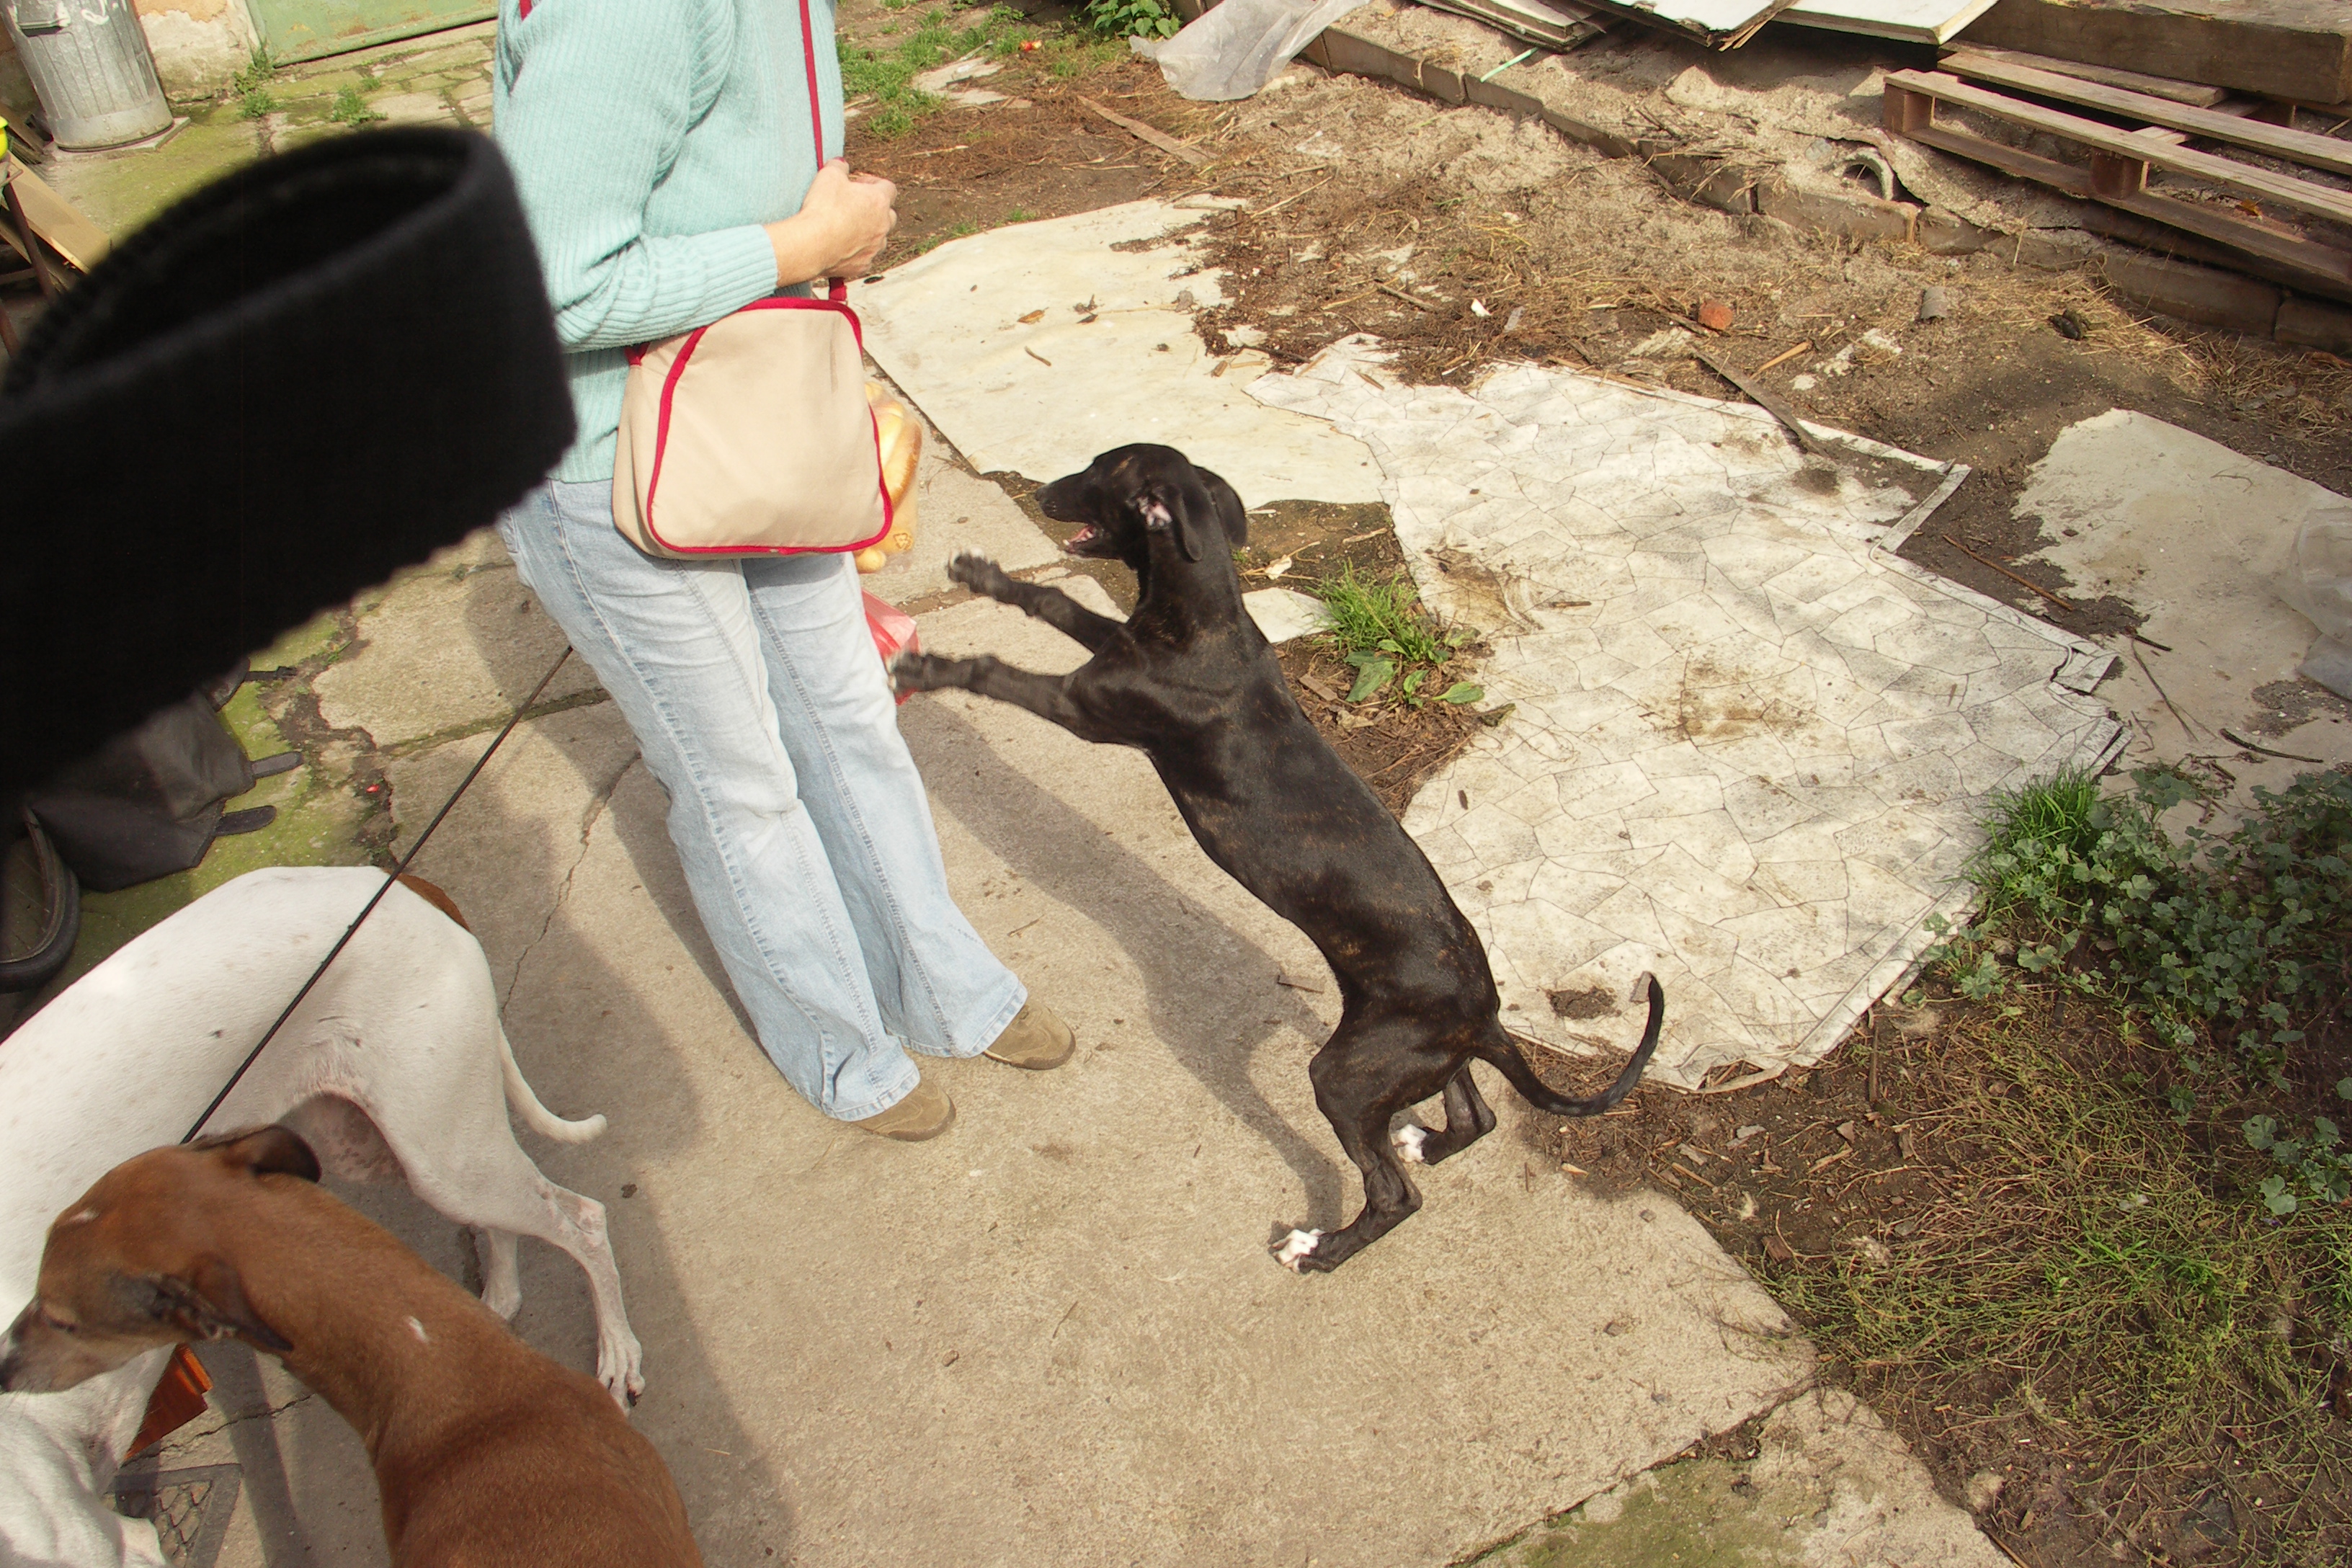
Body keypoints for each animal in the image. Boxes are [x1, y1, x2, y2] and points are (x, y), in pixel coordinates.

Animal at [893, 444, 1662, 1272]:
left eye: (1101, 469)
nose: (1042, 493)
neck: (1205, 617)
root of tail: (1484, 1015)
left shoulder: (1081, 705)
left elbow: (998, 672)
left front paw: (930, 669)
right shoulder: (1110, 647)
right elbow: (1059, 604)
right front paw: (988, 577)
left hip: (1346, 1074)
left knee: (1395, 1195)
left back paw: (1319, 1249)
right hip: (1413, 1059)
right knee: (1476, 1115)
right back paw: (1428, 1141)